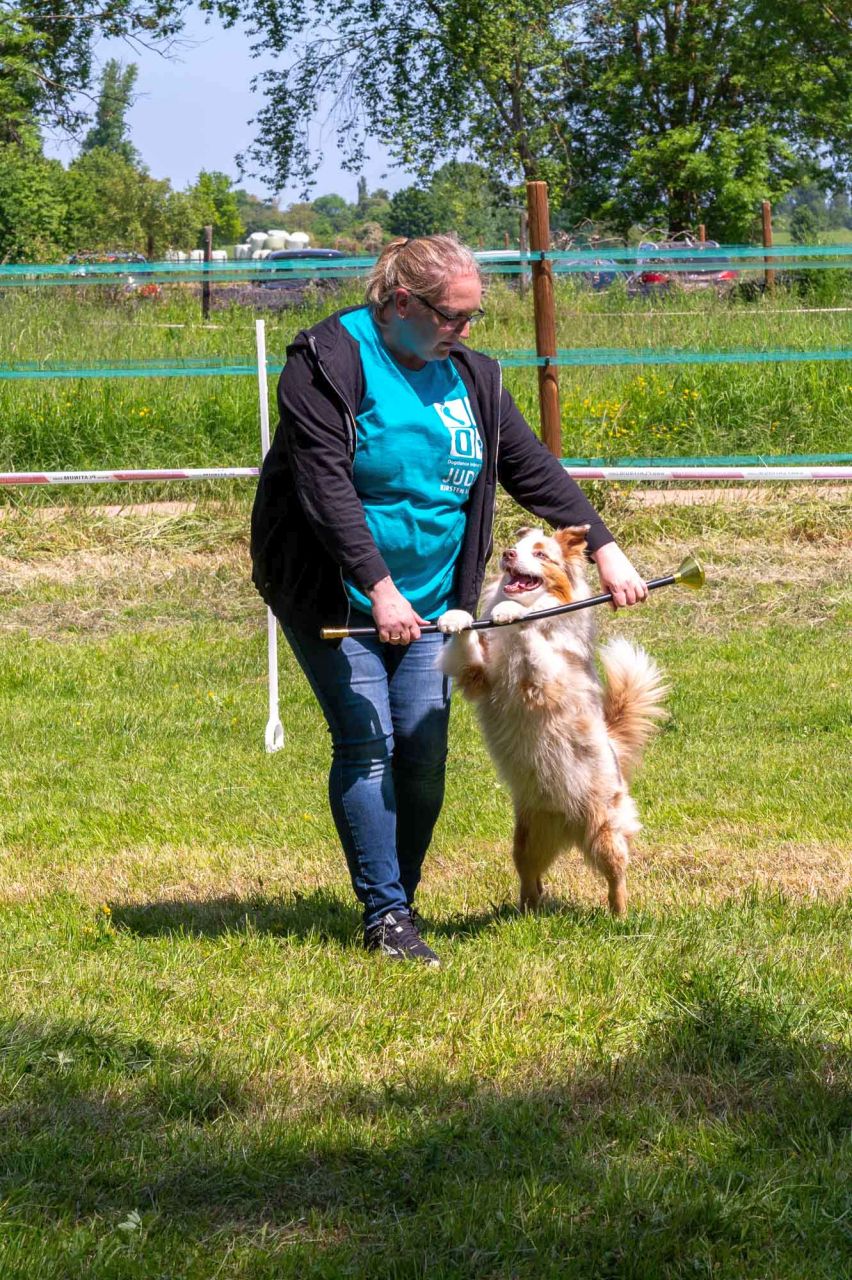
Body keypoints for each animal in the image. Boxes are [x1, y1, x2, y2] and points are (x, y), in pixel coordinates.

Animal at [434, 524, 665, 916]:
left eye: (541, 554)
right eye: (517, 546)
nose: (508, 554)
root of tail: (568, 828)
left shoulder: (547, 680)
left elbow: (532, 633)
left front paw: (511, 612)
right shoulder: (477, 674)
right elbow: (467, 648)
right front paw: (458, 618)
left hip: (605, 831)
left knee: (616, 875)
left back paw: (620, 916)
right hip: (527, 838)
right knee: (531, 878)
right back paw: (528, 911)